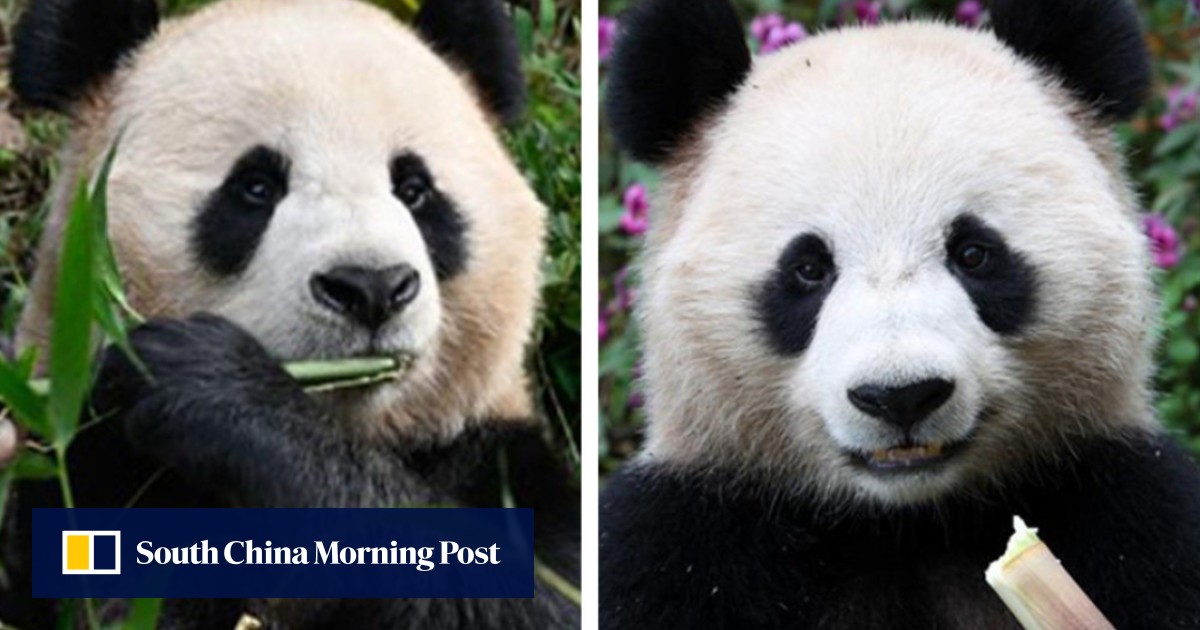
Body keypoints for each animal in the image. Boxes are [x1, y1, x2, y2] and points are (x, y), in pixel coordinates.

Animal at [0, 0, 579, 628]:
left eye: (415, 190)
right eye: (255, 186)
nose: (371, 287)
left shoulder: (498, 459)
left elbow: (525, 593)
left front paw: (213, 387)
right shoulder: (86, 463)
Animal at [600, 0, 1200, 628]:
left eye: (974, 253)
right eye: (807, 269)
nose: (901, 396)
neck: (906, 524)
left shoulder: (1123, 502)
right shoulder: (693, 534)